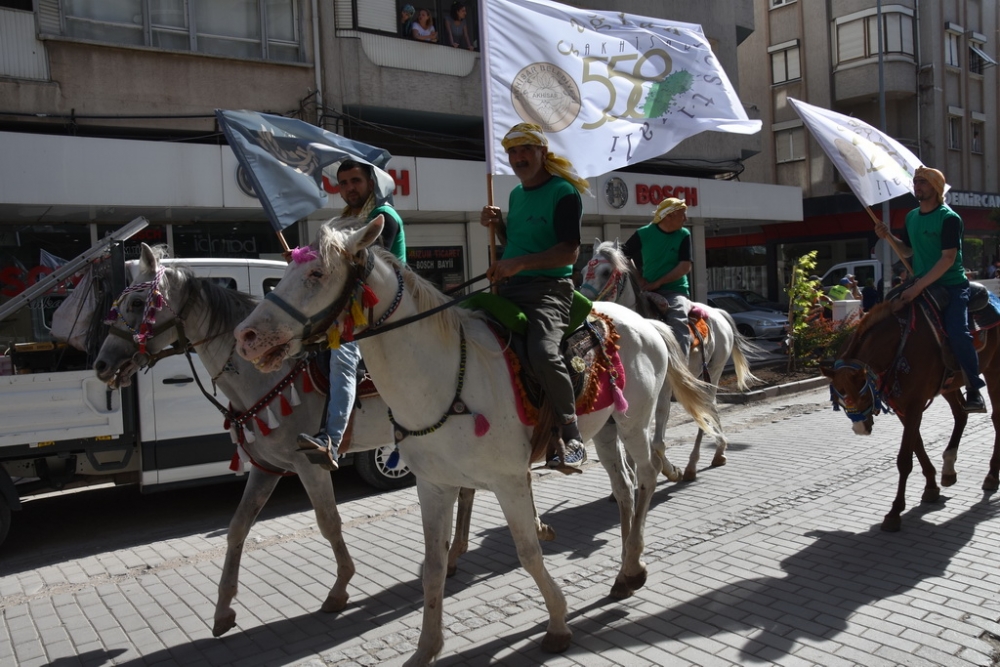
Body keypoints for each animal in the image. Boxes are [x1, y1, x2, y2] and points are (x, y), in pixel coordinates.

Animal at [234, 217, 720, 664]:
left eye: (316, 274)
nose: (246, 336)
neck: (443, 376)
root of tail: (644, 323)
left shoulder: (510, 481)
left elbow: (528, 552)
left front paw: (558, 623)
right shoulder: (433, 486)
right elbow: (432, 566)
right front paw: (427, 646)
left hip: (634, 422)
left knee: (647, 477)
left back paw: (634, 561)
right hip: (604, 430)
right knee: (624, 490)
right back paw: (624, 569)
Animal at [580, 240, 756, 480]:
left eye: (606, 271)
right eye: (582, 271)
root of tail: (717, 312)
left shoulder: (663, 389)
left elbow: (657, 438)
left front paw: (669, 469)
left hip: (714, 370)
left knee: (707, 406)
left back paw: (696, 463)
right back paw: (717, 452)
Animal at [824, 298, 996, 532]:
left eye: (863, 394)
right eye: (839, 396)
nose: (860, 429)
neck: (898, 344)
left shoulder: (915, 404)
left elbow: (904, 458)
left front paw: (895, 512)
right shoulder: (902, 406)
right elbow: (918, 445)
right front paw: (931, 487)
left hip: (994, 371)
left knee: (996, 418)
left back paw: (991, 475)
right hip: (950, 385)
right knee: (961, 414)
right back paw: (949, 469)